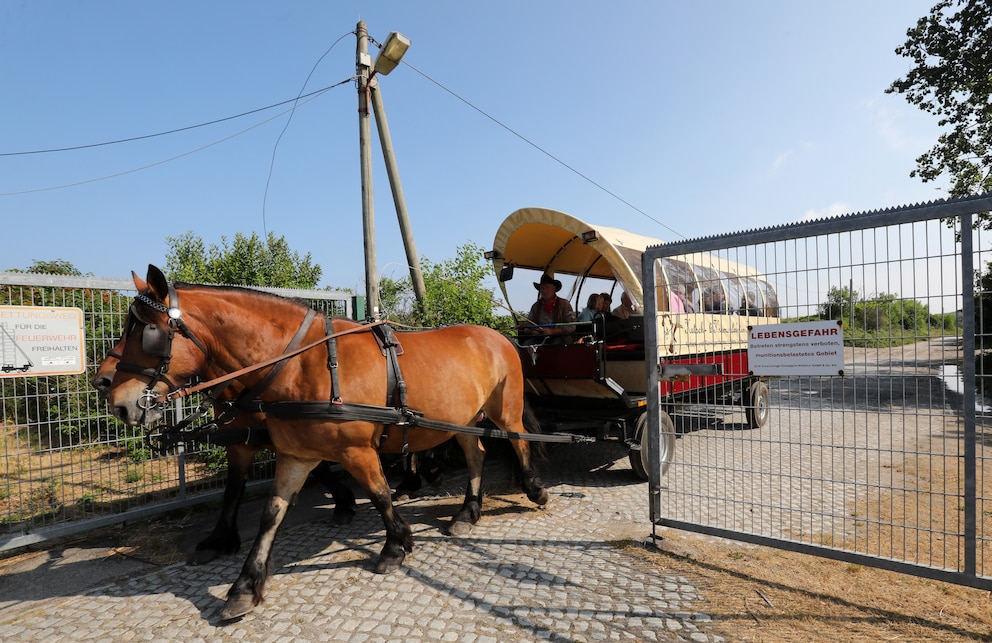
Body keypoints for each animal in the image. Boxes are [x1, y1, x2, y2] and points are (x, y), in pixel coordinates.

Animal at [91, 338, 358, 564]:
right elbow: (232, 490)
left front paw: (344, 502)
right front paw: (219, 541)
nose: (101, 381)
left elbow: (320, 468)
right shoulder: (241, 443)